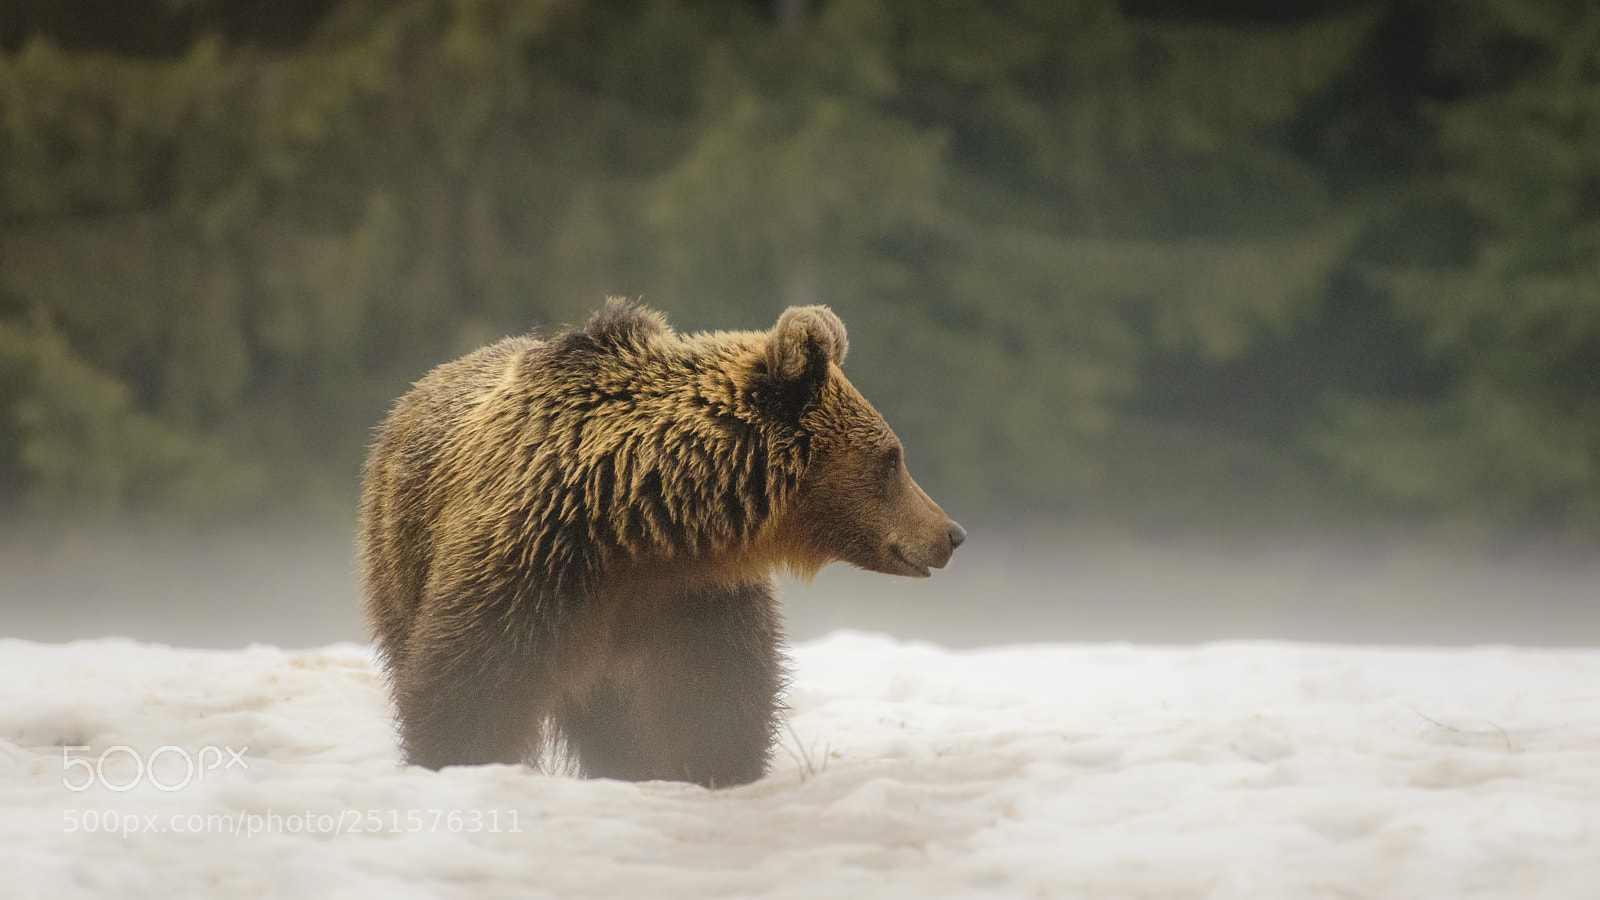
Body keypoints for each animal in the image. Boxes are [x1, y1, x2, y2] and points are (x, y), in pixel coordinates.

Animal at [357, 300, 964, 786]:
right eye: (892, 458)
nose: (951, 534)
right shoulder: (533, 559)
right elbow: (469, 687)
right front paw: (456, 761)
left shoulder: (695, 595)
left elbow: (715, 700)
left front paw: (711, 771)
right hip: (398, 555)